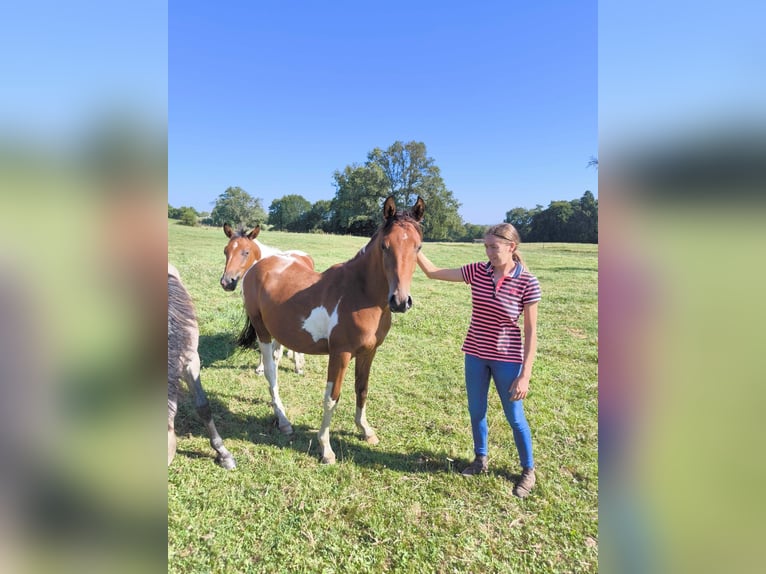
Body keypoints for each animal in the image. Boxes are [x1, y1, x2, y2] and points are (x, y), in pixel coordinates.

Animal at [219, 225, 312, 378]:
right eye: (225, 251)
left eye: (246, 252)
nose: (226, 282)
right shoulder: (258, 317)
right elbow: (263, 343)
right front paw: (261, 367)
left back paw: (297, 362)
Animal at [237, 196, 426, 466]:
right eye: (385, 246)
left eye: (418, 247)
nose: (400, 302)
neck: (360, 294)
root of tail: (257, 266)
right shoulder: (340, 354)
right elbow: (332, 398)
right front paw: (326, 448)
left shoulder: (369, 353)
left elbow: (362, 390)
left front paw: (366, 430)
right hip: (262, 331)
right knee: (271, 373)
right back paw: (283, 420)